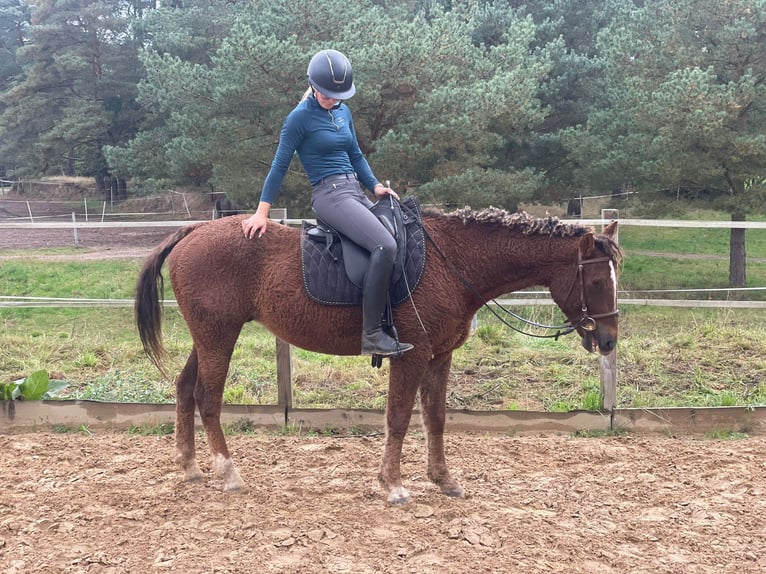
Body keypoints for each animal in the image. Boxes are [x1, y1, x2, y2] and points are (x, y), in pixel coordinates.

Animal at [135, 206, 620, 504]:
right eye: (598, 281)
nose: (610, 339)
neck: (453, 262)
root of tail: (195, 230)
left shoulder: (439, 357)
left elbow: (436, 418)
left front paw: (443, 479)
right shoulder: (412, 355)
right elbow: (399, 418)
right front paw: (392, 484)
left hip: (208, 337)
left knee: (184, 389)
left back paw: (190, 466)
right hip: (219, 335)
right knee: (208, 398)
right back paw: (228, 472)